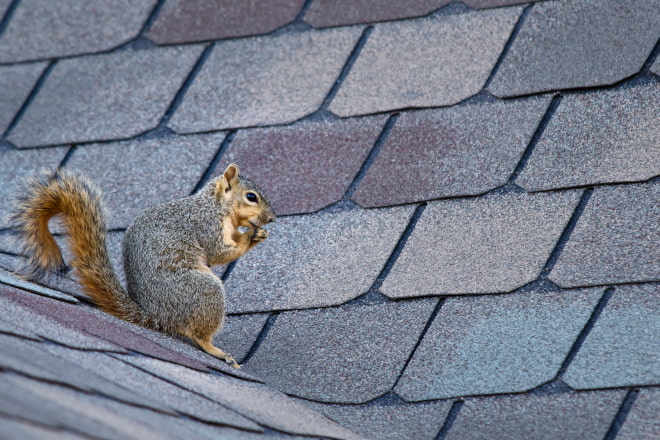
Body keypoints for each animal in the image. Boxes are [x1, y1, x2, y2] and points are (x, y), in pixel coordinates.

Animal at [10, 162, 274, 368]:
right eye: (251, 197)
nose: (271, 218)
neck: (216, 205)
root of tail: (156, 316)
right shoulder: (206, 226)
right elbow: (219, 252)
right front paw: (251, 237)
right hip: (203, 290)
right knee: (198, 334)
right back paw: (215, 350)